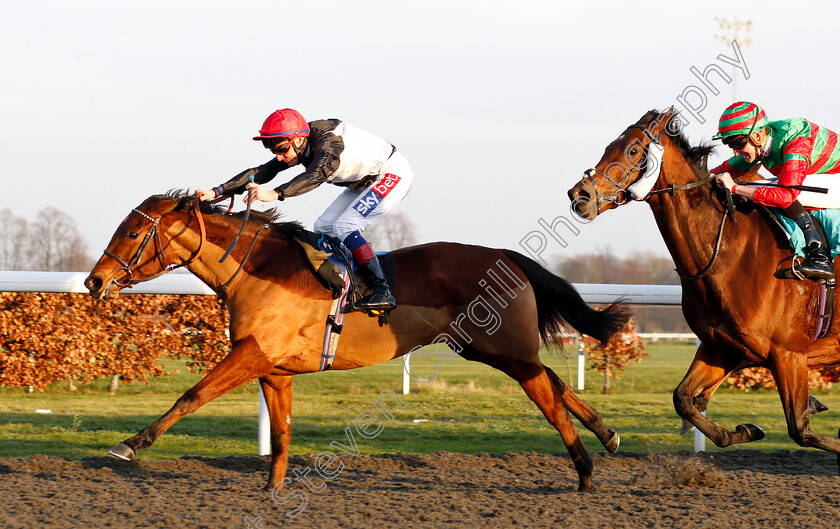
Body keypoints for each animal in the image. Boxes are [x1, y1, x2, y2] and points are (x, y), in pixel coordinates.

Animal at [83, 190, 632, 490]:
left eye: (131, 233)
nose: (94, 280)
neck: (256, 268)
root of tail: (506, 256)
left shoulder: (251, 353)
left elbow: (191, 395)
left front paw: (130, 445)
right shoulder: (274, 370)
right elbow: (280, 434)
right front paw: (273, 490)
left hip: (502, 347)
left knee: (547, 396)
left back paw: (585, 469)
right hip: (488, 348)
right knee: (554, 379)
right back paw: (606, 434)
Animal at [568, 106, 840, 466]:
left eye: (632, 151)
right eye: (607, 147)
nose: (579, 195)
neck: (728, 254)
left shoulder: (788, 353)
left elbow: (800, 428)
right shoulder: (721, 347)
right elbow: (684, 399)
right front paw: (747, 430)